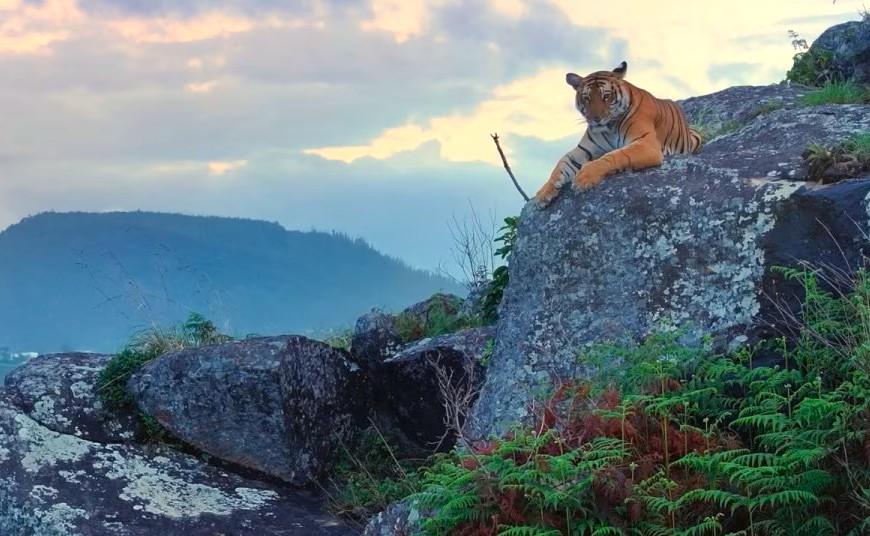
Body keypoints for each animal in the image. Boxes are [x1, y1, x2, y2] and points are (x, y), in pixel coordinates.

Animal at [534, 61, 702, 208]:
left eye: (606, 96)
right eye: (586, 98)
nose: (596, 119)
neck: (609, 128)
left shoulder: (645, 144)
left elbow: (615, 155)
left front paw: (584, 177)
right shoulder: (584, 150)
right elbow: (562, 163)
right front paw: (544, 192)